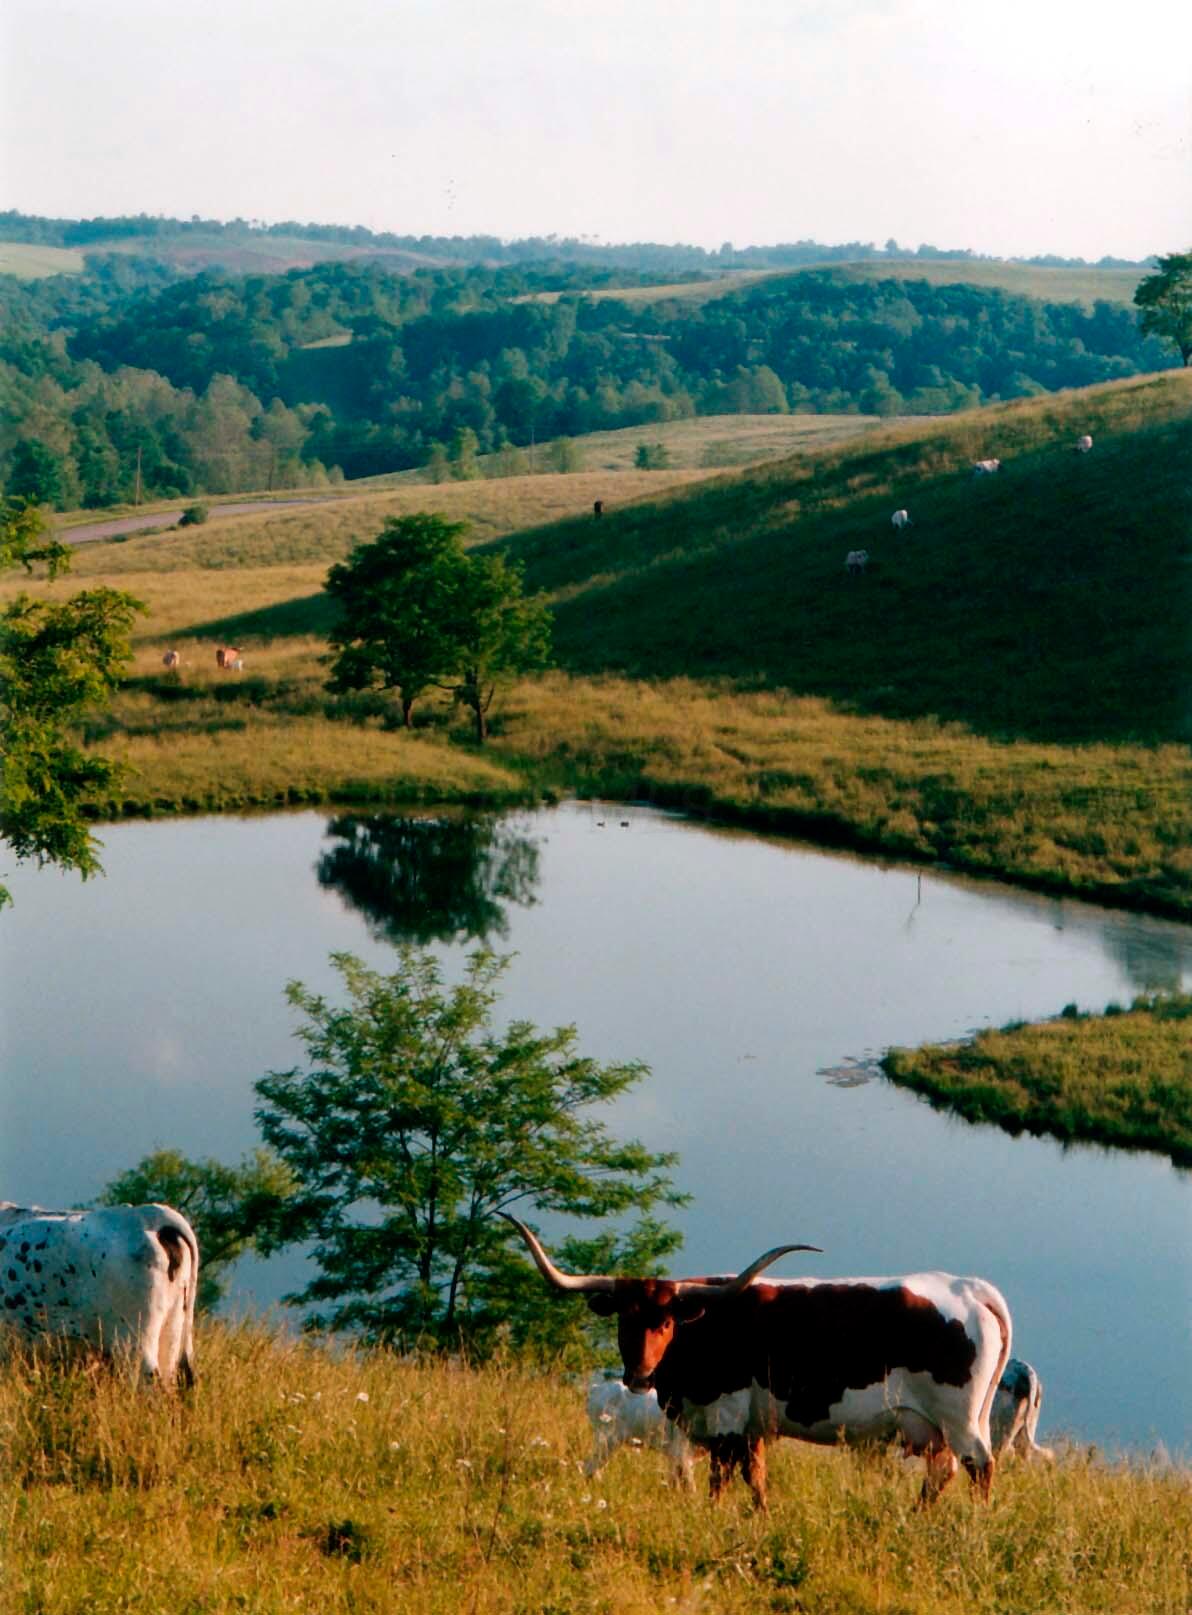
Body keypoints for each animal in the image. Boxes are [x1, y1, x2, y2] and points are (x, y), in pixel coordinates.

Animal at [500, 1214, 1014, 1505]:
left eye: (666, 1323)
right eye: (624, 1321)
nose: (640, 1374)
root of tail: (968, 1287)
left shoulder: (725, 1418)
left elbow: (719, 1481)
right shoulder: (750, 1428)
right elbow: (757, 1480)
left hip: (959, 1418)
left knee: (980, 1467)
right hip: (939, 1426)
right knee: (944, 1472)